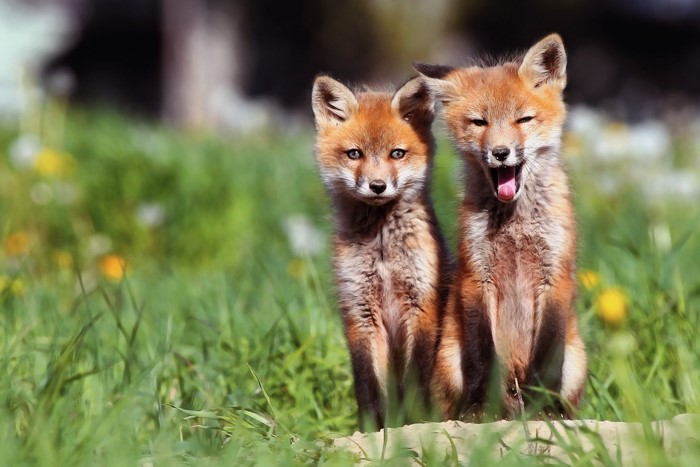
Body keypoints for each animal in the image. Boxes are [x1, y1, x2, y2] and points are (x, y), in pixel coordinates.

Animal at [311, 75, 451, 431]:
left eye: (397, 153)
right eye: (354, 154)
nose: (377, 186)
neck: (383, 249)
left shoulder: (421, 305)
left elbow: (416, 379)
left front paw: (416, 423)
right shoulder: (359, 310)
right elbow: (367, 384)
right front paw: (373, 430)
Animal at [414, 33, 587, 420]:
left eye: (523, 119)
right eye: (479, 122)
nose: (501, 152)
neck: (515, 224)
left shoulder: (555, 276)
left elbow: (547, 358)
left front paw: (544, 407)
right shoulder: (477, 276)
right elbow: (482, 356)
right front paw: (481, 406)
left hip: (576, 360)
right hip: (450, 360)